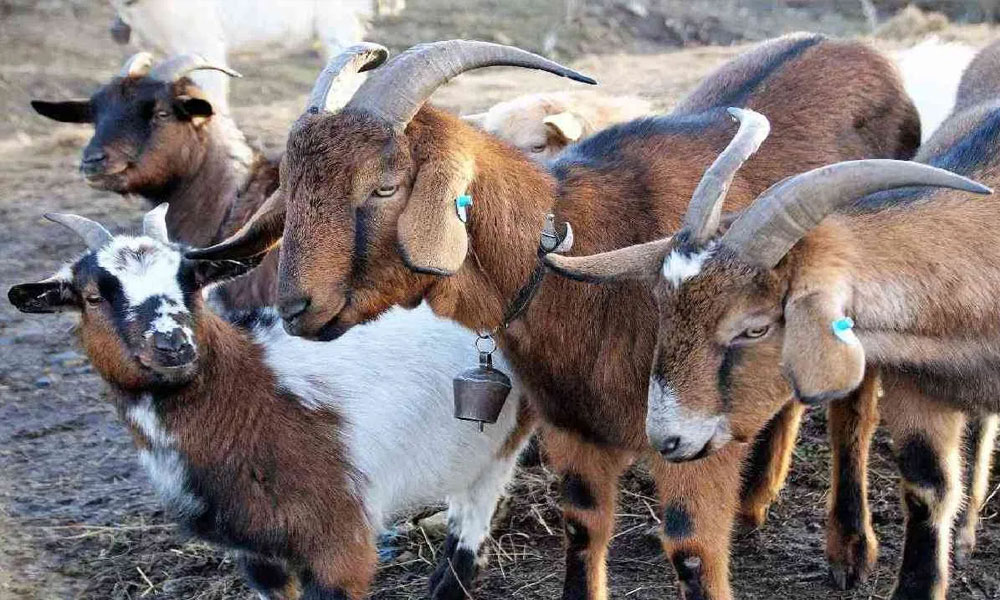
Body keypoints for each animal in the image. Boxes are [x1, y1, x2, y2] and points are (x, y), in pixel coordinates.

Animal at [7, 206, 531, 600]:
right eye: (93, 296)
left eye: (191, 281)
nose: (173, 344)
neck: (259, 393)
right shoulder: (256, 554)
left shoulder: (339, 542)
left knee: (479, 506)